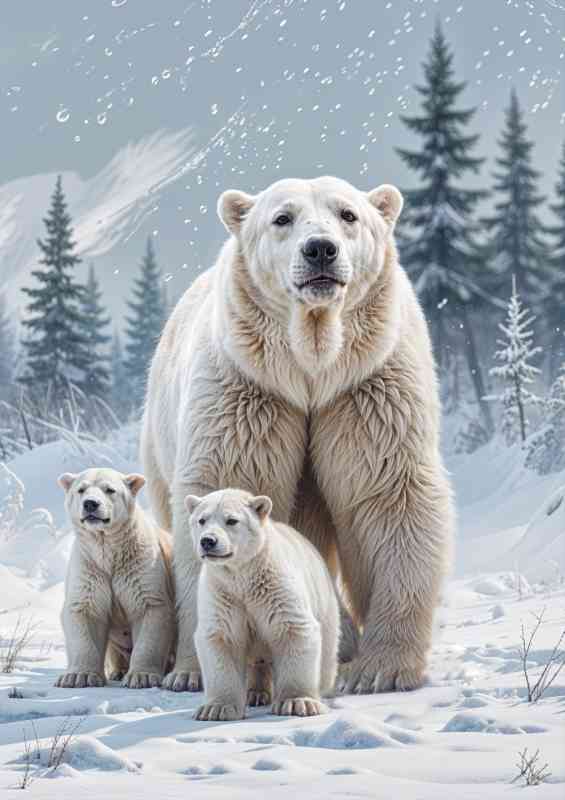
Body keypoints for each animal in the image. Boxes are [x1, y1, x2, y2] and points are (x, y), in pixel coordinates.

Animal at [55, 468, 175, 689]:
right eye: (81, 489)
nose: (90, 504)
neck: (110, 553)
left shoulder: (140, 565)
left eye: (110, 489)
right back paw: (118, 671)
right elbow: (85, 610)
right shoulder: (90, 566)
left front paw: (142, 677)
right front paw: (78, 677)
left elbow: (149, 608)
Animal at [141, 176, 454, 695]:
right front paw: (190, 672)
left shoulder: (365, 386)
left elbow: (389, 494)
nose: (320, 249)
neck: (309, 368)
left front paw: (381, 669)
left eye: (348, 214)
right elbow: (231, 482)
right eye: (282, 218)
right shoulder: (250, 391)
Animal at [186, 489, 339, 721]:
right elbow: (223, 637)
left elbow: (293, 629)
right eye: (202, 520)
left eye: (232, 520)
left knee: (326, 658)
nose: (208, 541)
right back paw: (255, 693)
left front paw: (297, 702)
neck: (244, 577)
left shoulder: (276, 587)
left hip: (326, 606)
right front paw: (216, 709)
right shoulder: (223, 593)